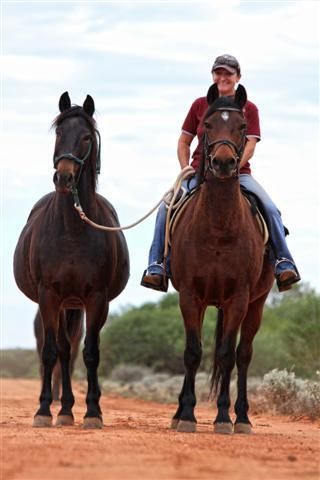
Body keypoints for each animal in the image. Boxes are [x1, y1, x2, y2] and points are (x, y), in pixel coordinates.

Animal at [13, 92, 129, 430]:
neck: (73, 230)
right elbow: (52, 351)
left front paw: (93, 412)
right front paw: (43, 410)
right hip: (64, 303)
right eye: (59, 133)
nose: (63, 177)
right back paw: (63, 410)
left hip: (76, 304)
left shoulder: (96, 298)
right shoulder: (49, 295)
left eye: (87, 136)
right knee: (63, 351)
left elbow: (91, 353)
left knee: (75, 350)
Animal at [171, 83, 274, 436]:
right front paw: (187, 416)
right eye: (207, 125)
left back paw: (241, 417)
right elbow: (192, 352)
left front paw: (223, 419)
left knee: (244, 355)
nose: (225, 163)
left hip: (256, 304)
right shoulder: (190, 296)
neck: (217, 227)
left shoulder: (239, 298)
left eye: (243, 126)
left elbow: (228, 355)